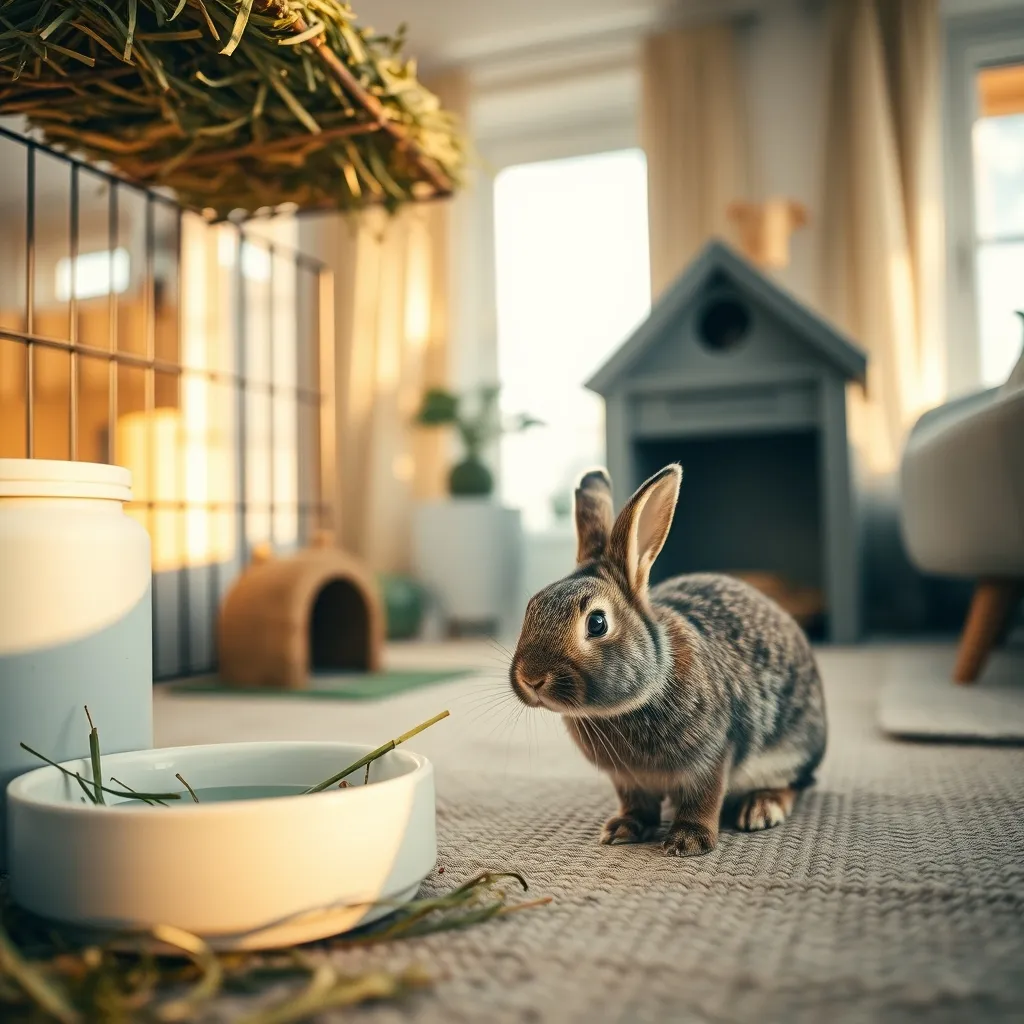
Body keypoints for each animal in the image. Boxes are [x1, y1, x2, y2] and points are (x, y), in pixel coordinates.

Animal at [509, 463, 827, 857]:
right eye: (531, 608)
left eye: (597, 623)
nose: (531, 678)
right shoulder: (627, 780)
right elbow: (635, 805)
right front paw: (622, 829)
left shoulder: (711, 759)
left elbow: (702, 800)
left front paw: (687, 841)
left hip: (791, 750)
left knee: (795, 784)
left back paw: (761, 809)